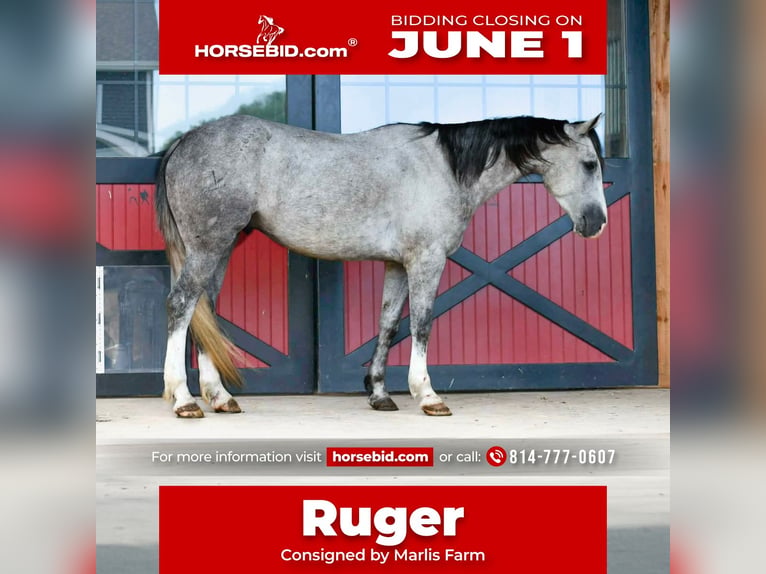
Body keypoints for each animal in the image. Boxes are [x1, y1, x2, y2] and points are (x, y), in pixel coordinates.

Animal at [155, 114, 606, 418]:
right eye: (590, 164)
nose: (597, 224)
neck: (444, 168)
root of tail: (184, 141)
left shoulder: (396, 264)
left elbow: (388, 323)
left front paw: (379, 393)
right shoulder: (426, 260)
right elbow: (422, 323)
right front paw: (427, 394)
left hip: (220, 247)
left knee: (205, 310)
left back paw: (219, 396)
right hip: (209, 246)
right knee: (180, 305)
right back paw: (183, 398)